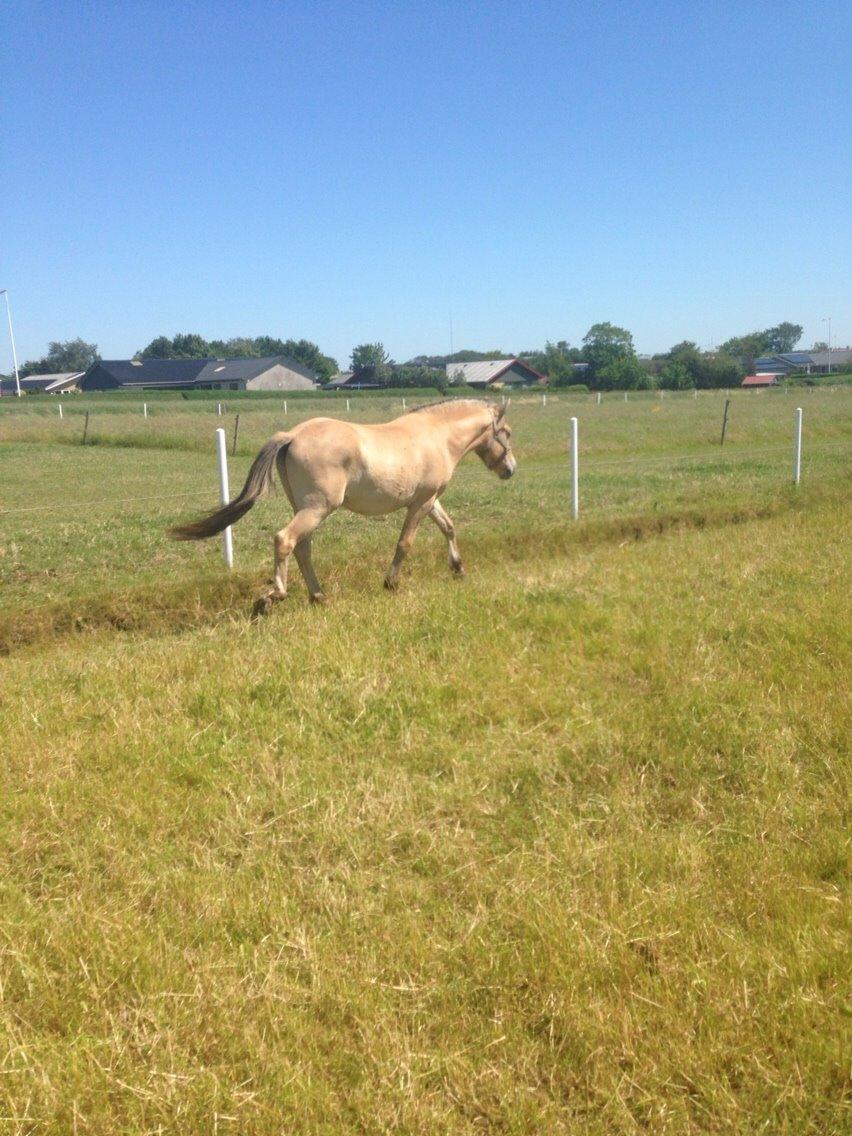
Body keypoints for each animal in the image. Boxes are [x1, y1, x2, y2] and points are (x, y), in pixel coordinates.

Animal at [169, 399, 518, 613]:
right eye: (508, 433)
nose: (510, 470)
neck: (436, 437)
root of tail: (292, 435)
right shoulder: (420, 503)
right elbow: (405, 543)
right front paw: (391, 583)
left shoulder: (428, 500)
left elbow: (448, 527)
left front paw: (459, 569)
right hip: (318, 508)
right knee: (285, 540)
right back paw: (273, 597)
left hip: (306, 508)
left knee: (302, 548)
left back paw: (318, 596)